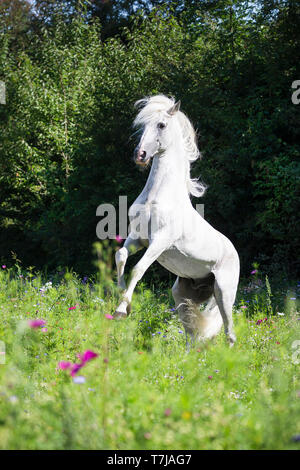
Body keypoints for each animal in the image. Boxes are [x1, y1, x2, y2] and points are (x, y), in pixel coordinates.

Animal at [114, 94, 239, 346]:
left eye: (161, 125)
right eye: (142, 126)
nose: (140, 155)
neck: (156, 196)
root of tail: (236, 254)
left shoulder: (160, 241)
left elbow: (138, 268)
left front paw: (122, 309)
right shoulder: (137, 238)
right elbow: (121, 255)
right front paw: (121, 299)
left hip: (224, 294)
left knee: (229, 332)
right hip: (183, 294)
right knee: (192, 333)